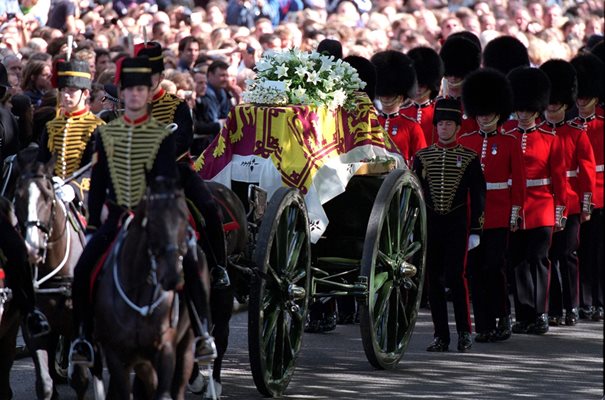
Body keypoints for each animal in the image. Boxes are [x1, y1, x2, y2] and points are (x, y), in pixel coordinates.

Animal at [12, 158, 89, 398]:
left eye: (48, 196)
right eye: (17, 196)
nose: (32, 248)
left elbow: (80, 379)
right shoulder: (33, 328)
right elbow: (43, 383)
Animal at [92, 178, 210, 400]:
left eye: (184, 220)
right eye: (153, 223)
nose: (174, 276)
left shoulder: (165, 349)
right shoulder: (116, 356)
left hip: (186, 344)